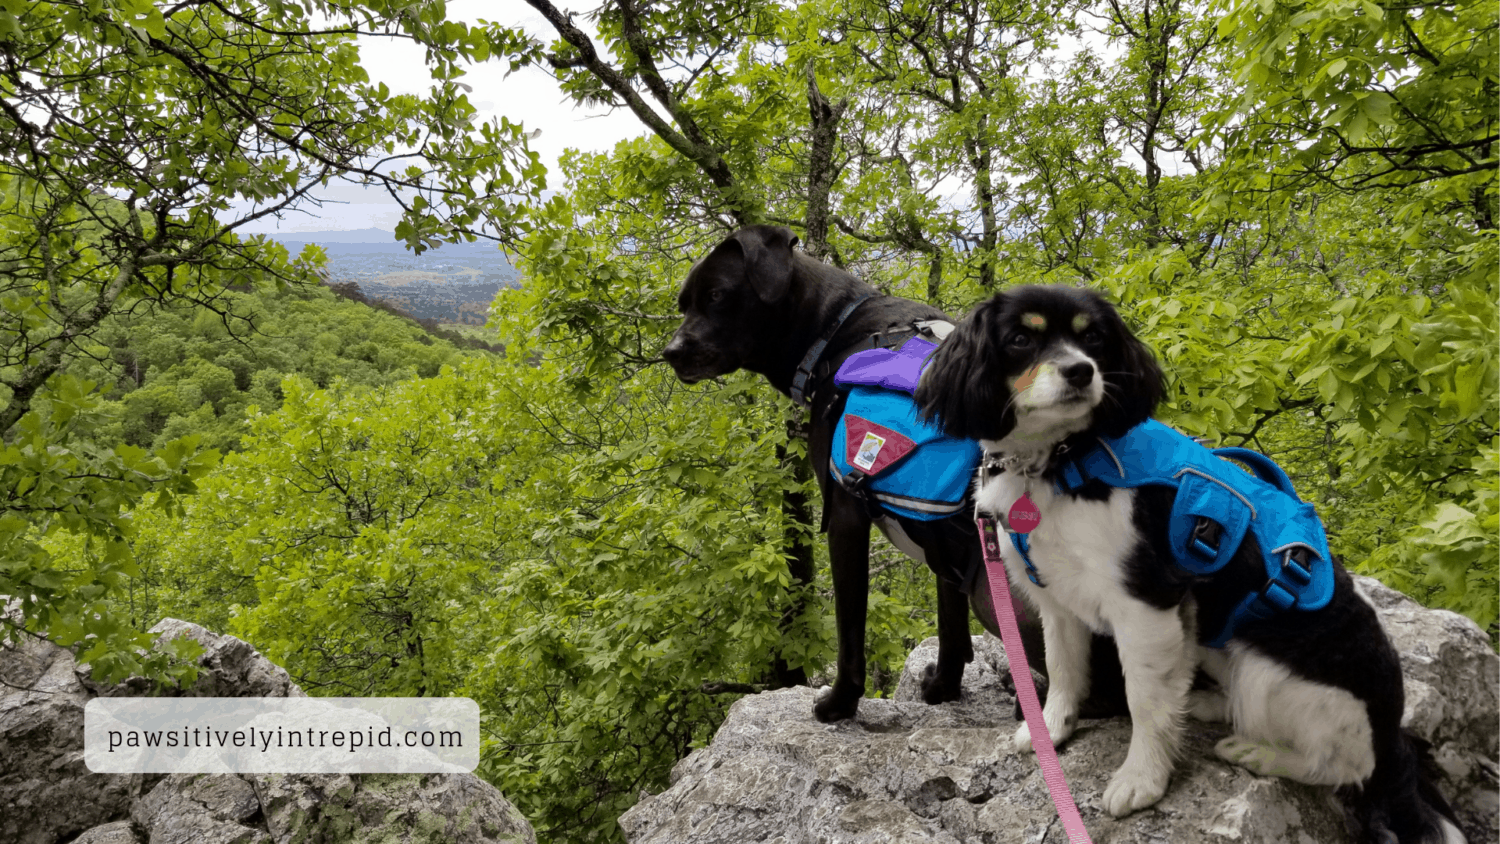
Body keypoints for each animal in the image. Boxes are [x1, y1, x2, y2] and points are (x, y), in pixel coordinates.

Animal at [663, 227, 1122, 722]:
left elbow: (851, 631)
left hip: (1001, 596)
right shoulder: (951, 539)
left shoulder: (846, 514)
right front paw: (943, 687)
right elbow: (949, 624)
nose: (671, 351)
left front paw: (839, 703)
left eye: (716, 294)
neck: (832, 332)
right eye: (684, 303)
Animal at [906, 287, 1458, 839]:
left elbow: (1143, 700)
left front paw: (1142, 780)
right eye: (1021, 339)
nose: (1081, 371)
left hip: (1271, 673)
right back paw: (1203, 702)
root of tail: (1391, 733)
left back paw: (1257, 752)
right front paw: (1052, 731)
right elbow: (1064, 669)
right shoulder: (1059, 600)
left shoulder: (1147, 602)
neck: (1062, 460)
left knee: (1344, 764)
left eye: (1093, 338)